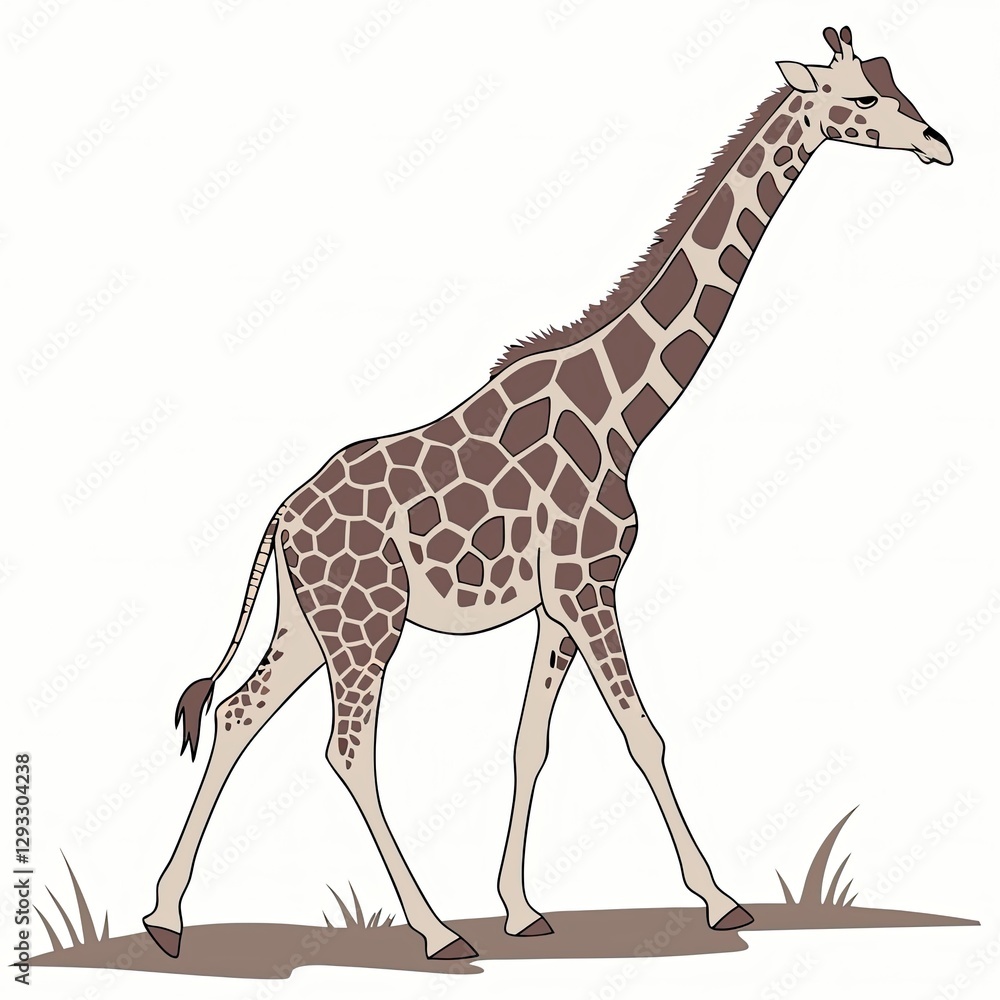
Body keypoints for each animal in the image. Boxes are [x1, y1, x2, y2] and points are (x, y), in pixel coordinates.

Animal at [144, 26, 952, 961]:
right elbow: (645, 734)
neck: (624, 415)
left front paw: (522, 908)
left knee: (239, 714)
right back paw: (434, 931)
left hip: (310, 623)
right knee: (347, 750)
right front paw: (721, 900)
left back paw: (165, 918)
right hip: (367, 624)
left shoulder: (557, 603)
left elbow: (532, 742)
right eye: (861, 98)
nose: (939, 144)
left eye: (896, 82)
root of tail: (281, 516)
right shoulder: (588, 585)